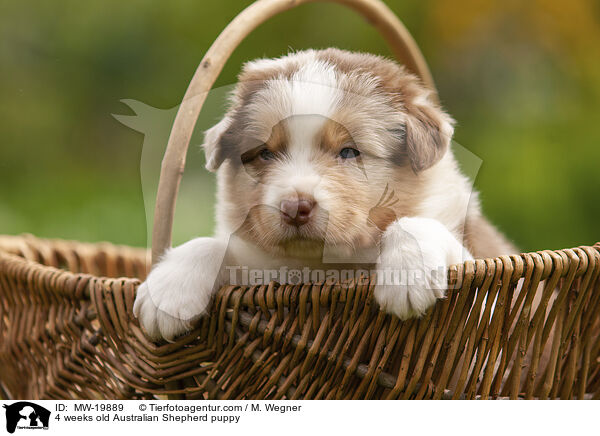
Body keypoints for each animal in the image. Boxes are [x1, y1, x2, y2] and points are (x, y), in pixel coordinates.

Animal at [132, 47, 516, 340]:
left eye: (348, 151)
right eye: (265, 154)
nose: (294, 207)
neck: (327, 263)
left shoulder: (478, 269)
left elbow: (414, 223)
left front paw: (407, 277)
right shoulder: (261, 269)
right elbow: (212, 244)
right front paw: (165, 291)